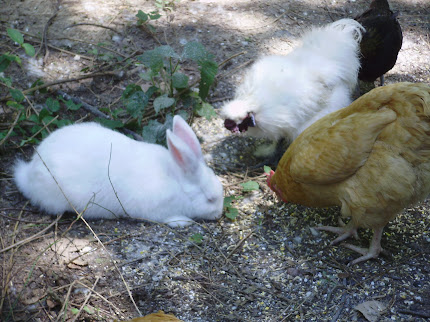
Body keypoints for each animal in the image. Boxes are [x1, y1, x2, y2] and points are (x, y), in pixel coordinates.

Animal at [13, 115, 223, 226]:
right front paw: (183, 221)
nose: (219, 213)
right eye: (210, 199)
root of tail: (28, 174)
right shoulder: (156, 211)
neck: (177, 179)